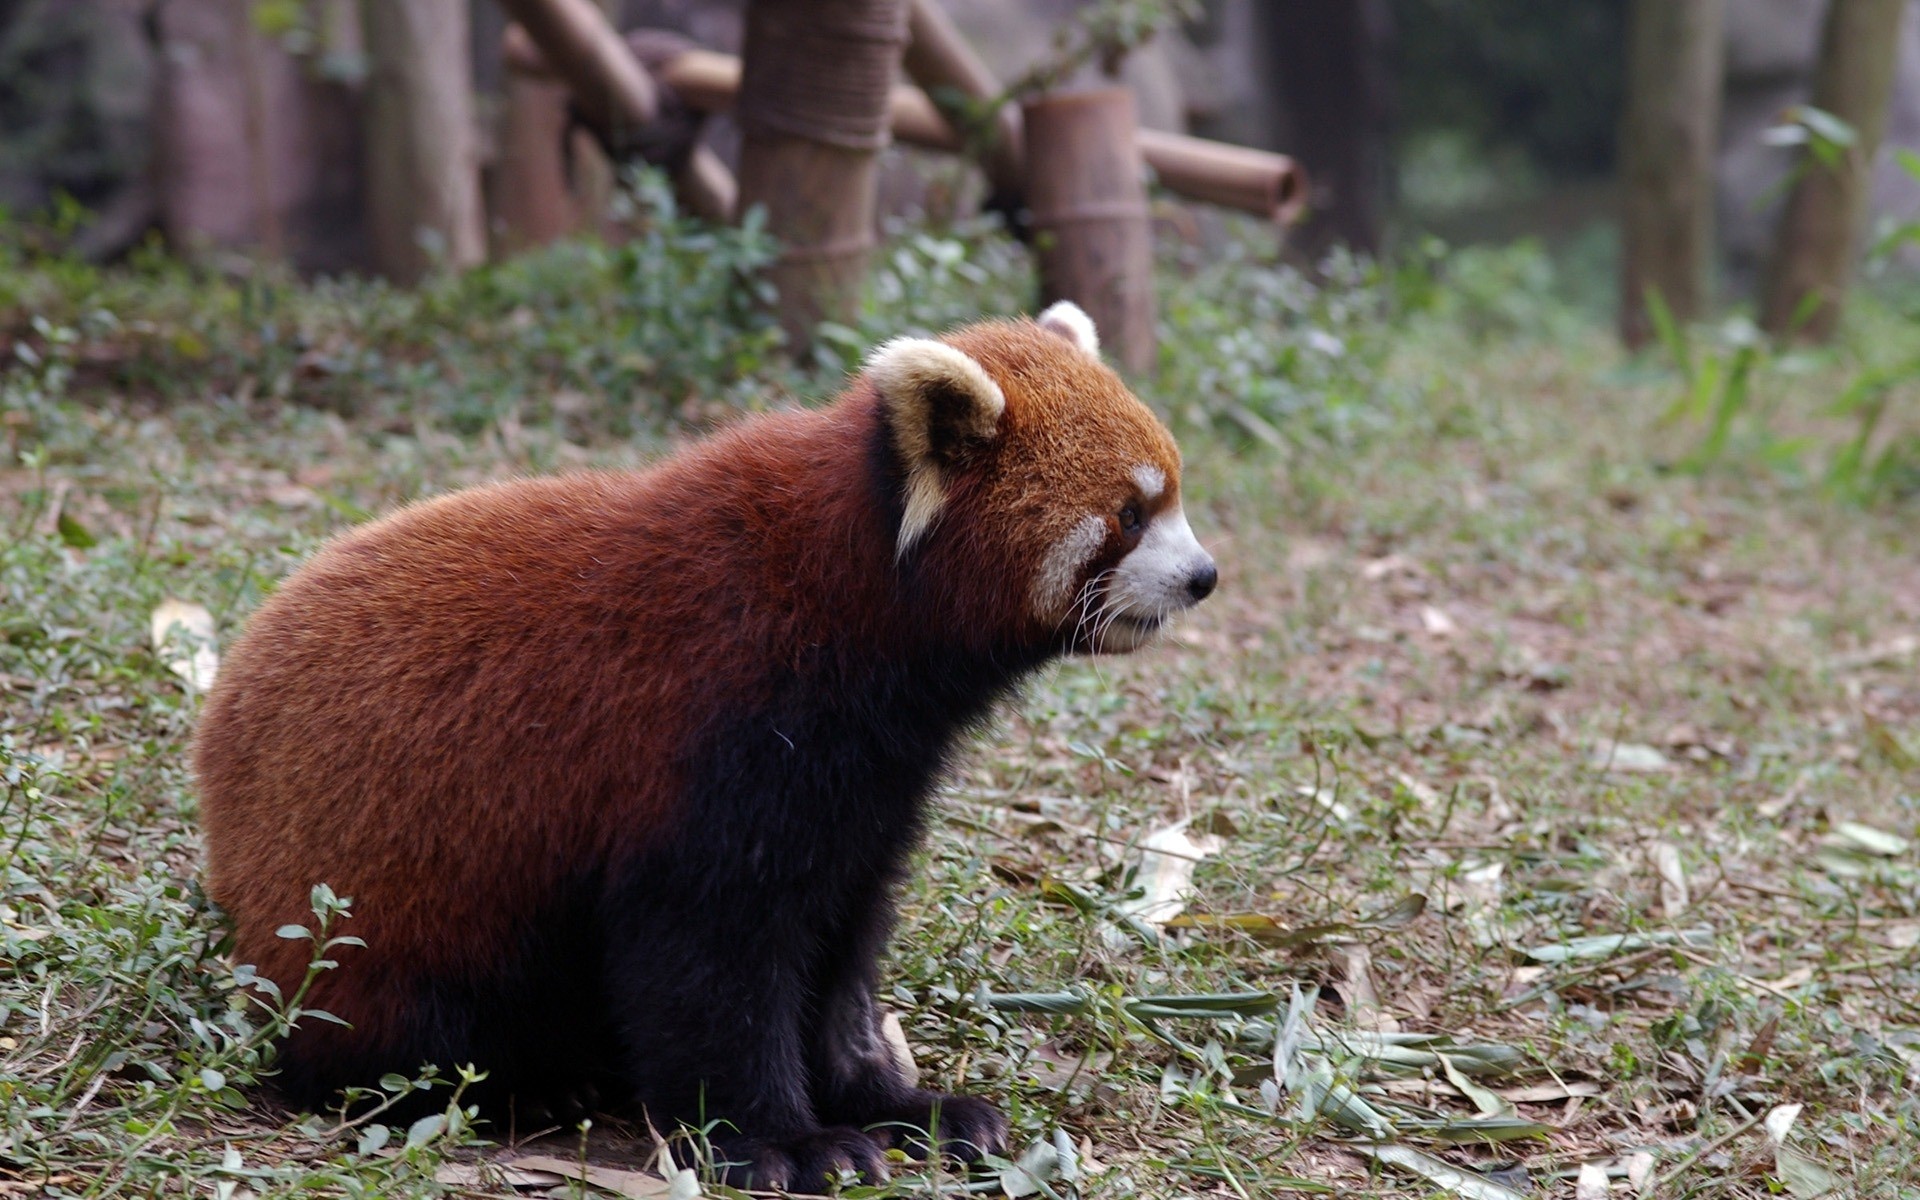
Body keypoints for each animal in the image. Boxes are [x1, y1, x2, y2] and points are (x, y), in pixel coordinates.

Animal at [194, 301, 1213, 1190]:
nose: (1203, 576)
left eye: (1175, 494)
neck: (856, 609)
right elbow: (712, 964)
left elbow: (842, 955)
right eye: (1129, 514)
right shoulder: (710, 732)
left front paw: (899, 1105)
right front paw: (785, 1143)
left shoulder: (870, 784)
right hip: (380, 910)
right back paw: (527, 1085)